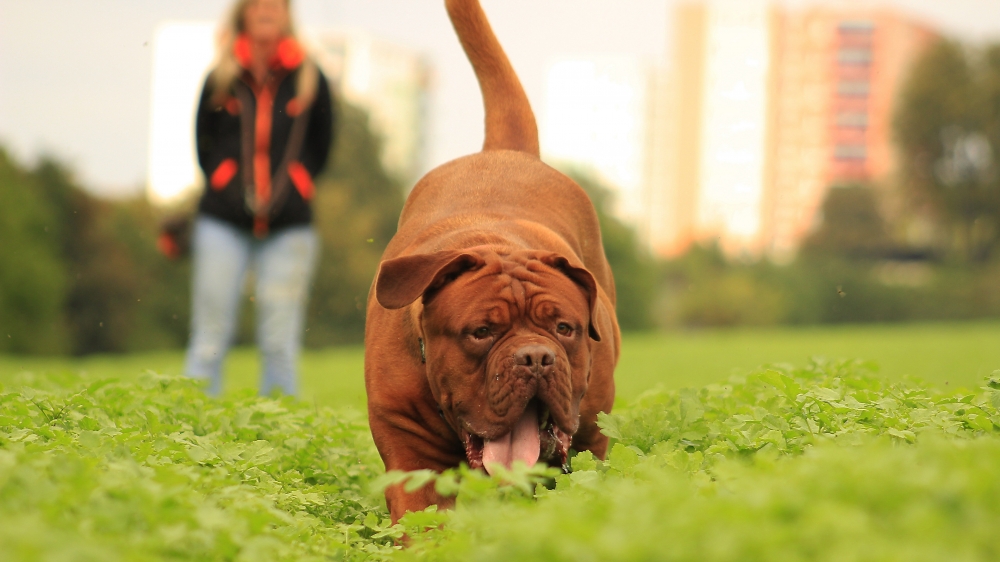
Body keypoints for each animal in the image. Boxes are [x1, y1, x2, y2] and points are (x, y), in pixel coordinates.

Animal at [368, 0, 616, 520]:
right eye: (481, 332)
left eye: (564, 328)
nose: (536, 358)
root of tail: (504, 150)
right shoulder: (409, 452)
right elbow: (422, 519)